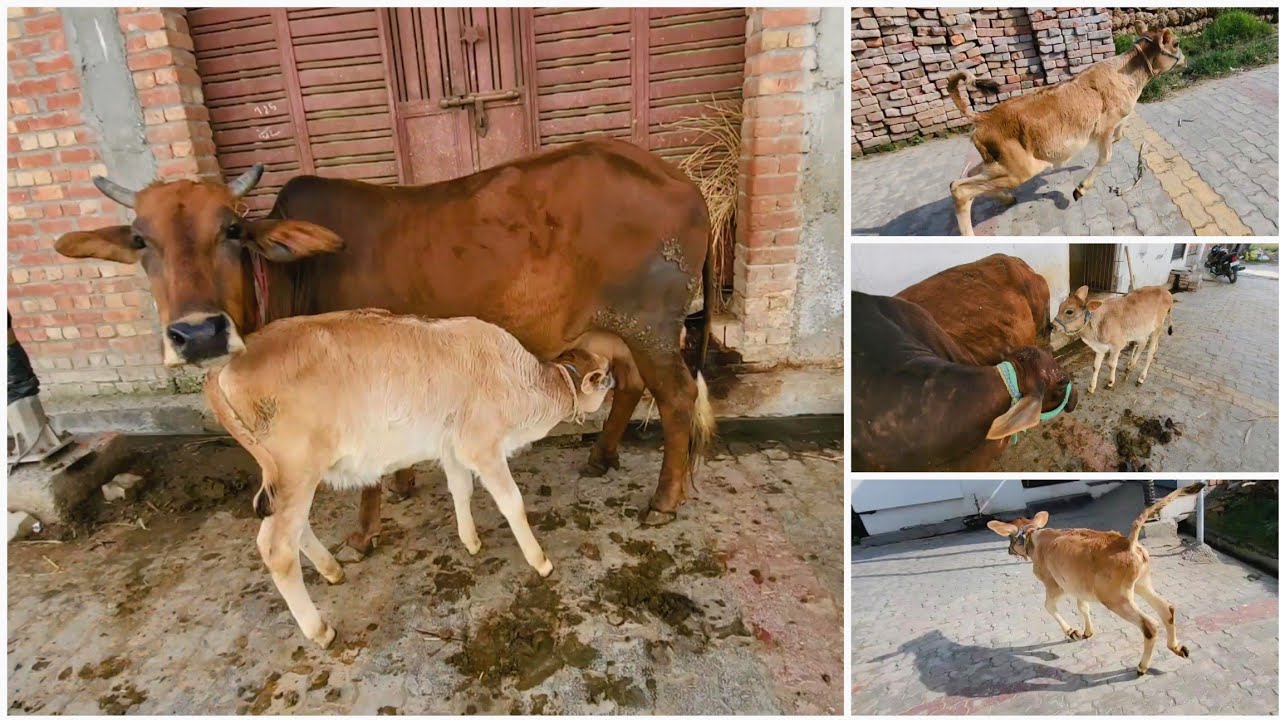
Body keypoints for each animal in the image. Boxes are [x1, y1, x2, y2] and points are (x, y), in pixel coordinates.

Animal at [53, 137, 716, 553]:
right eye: (140, 240)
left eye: (233, 228)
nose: (197, 332)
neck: (294, 276)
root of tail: (684, 180)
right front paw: (404, 483)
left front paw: (367, 529)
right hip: (618, 329)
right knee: (631, 386)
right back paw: (602, 457)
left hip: (651, 326)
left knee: (677, 398)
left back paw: (664, 498)